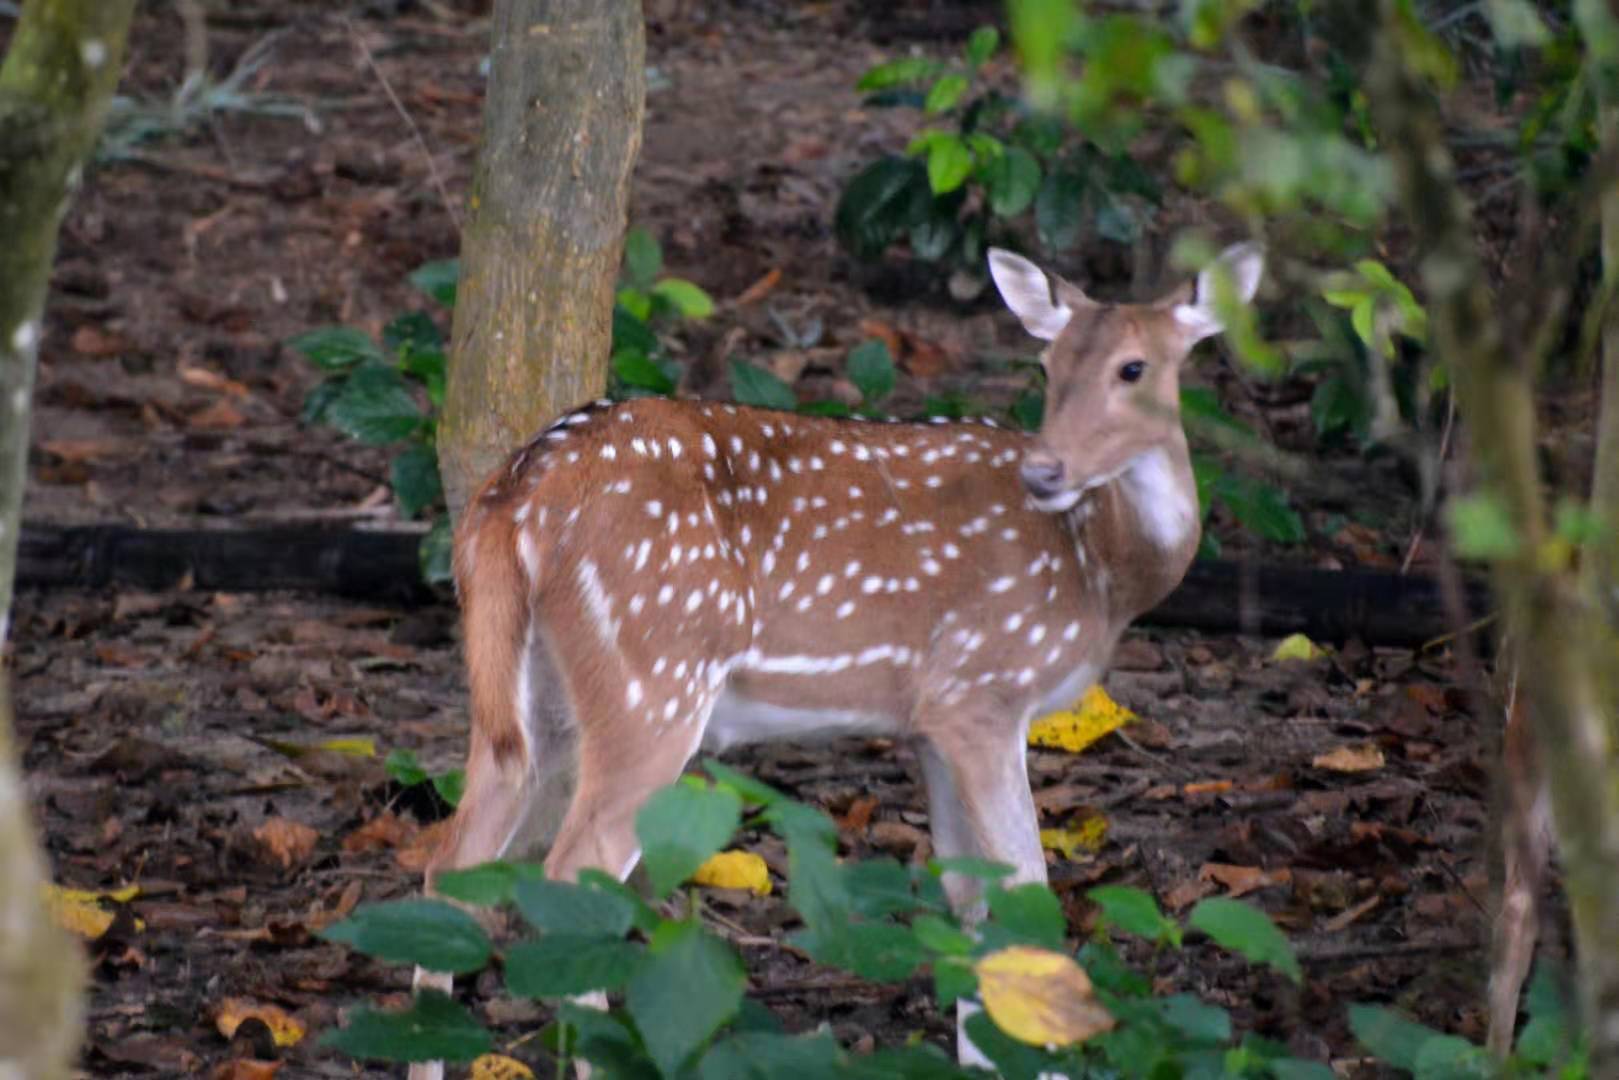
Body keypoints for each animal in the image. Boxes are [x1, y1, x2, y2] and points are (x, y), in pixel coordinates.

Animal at [407, 241, 1262, 1075]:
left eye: (1133, 367)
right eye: (1046, 366)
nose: (1044, 471)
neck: (1099, 566)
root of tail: (513, 499)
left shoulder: (929, 723)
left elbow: (968, 899)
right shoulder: (981, 689)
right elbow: (1026, 894)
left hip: (533, 700)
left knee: (449, 867)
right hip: (651, 677)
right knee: (568, 875)